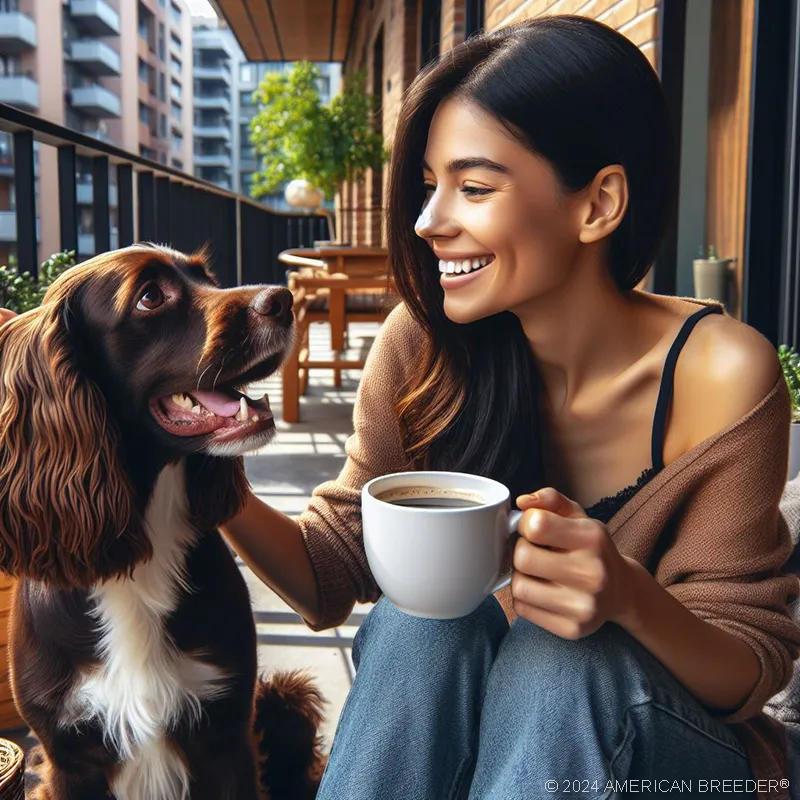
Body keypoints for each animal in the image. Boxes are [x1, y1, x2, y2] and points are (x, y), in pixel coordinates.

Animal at [0, 245, 328, 800]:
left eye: (207, 277)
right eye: (150, 297)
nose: (283, 300)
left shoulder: (228, 733)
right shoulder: (68, 755)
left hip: (284, 701)